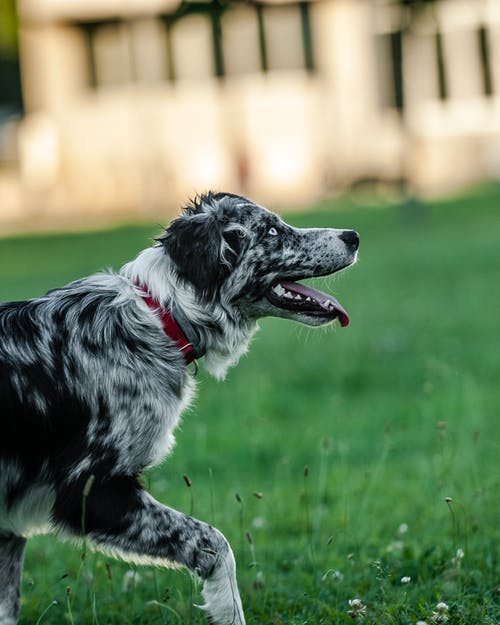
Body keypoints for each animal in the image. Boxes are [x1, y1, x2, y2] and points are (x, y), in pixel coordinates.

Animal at [0, 191, 360, 624]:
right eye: (271, 231)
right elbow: (215, 543)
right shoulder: (90, 489)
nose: (354, 236)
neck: (159, 316)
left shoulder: (10, 525)